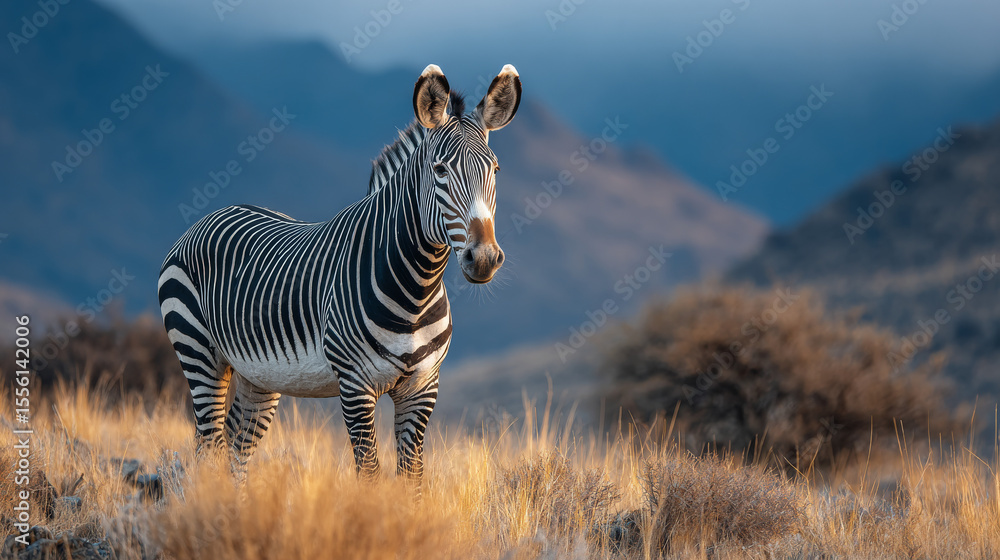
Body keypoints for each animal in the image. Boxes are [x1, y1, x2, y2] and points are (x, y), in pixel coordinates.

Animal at [157, 64, 521, 486]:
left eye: (495, 169)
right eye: (440, 170)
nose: (484, 258)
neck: (418, 287)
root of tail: (213, 214)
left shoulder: (422, 388)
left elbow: (411, 479)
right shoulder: (355, 385)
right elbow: (370, 475)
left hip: (257, 376)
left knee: (236, 448)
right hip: (199, 352)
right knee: (208, 445)